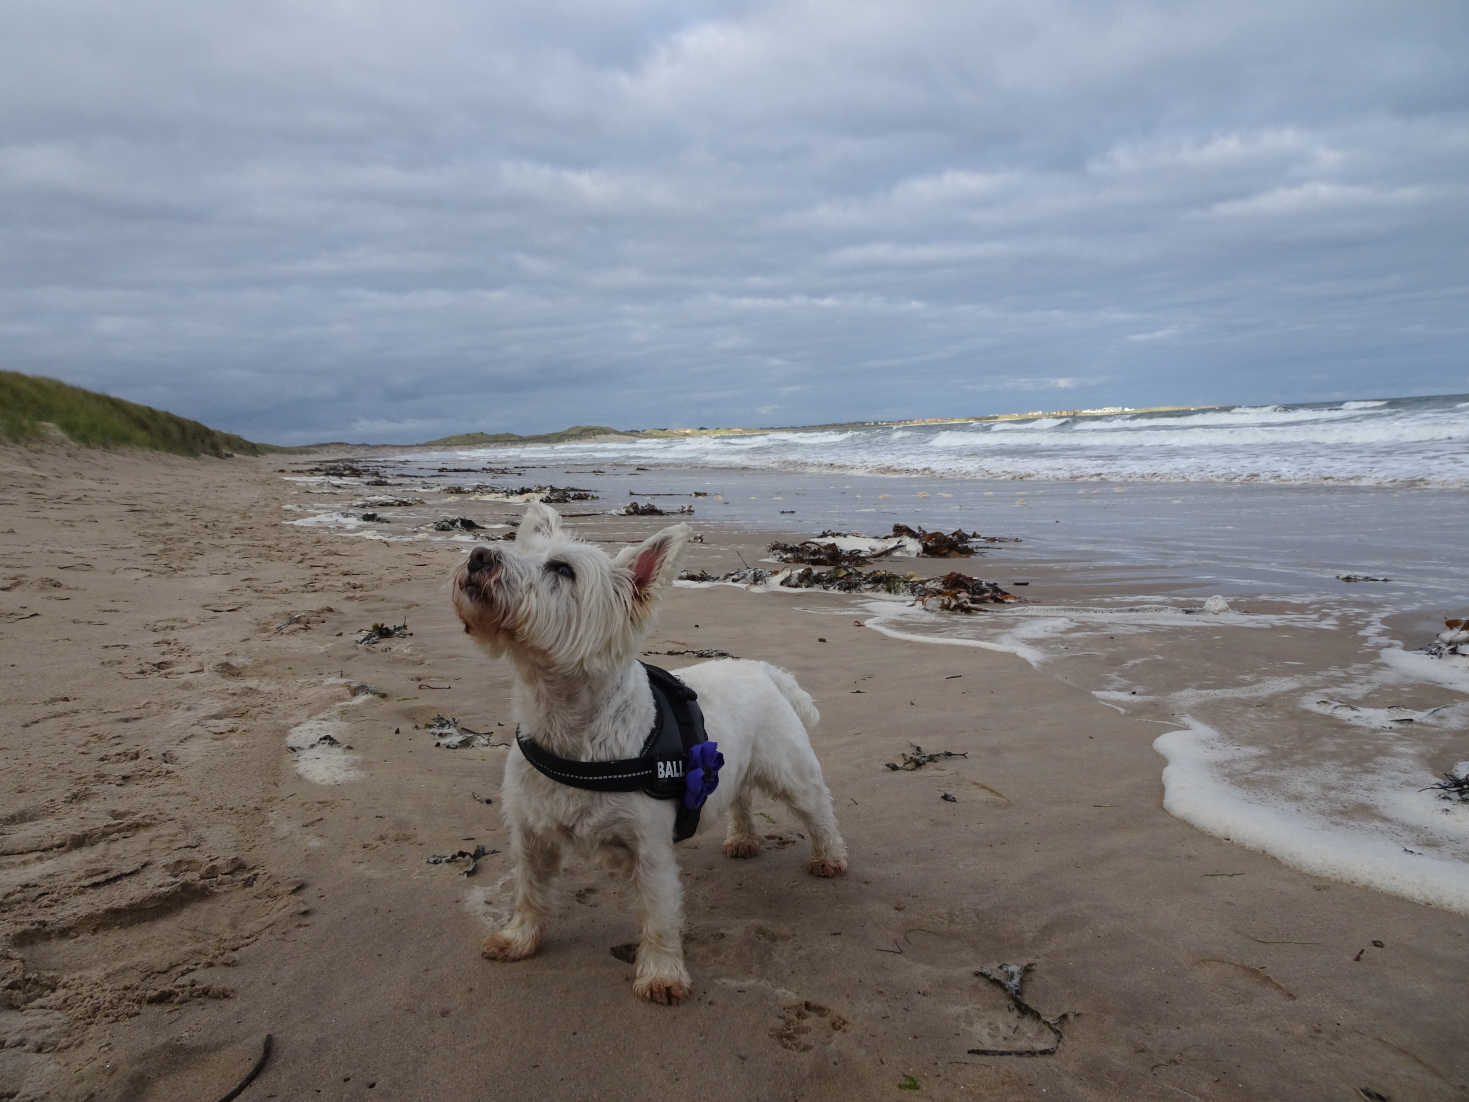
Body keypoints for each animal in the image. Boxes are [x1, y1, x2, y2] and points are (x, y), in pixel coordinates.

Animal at [458, 505, 852, 1005]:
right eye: (517, 546)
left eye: (562, 570)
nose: (478, 556)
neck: (566, 723)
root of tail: (760, 668)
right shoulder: (531, 834)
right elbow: (529, 890)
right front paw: (517, 939)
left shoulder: (651, 848)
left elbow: (660, 914)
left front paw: (662, 974)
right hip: (726, 767)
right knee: (741, 798)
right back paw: (742, 838)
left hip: (790, 769)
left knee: (819, 810)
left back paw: (830, 857)